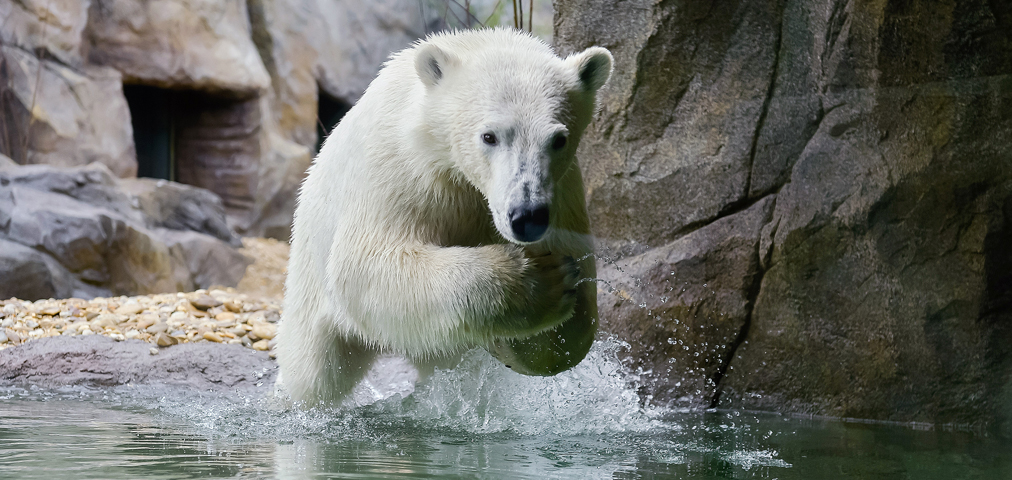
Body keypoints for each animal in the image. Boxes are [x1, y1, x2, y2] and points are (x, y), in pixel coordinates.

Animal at [273, 28, 611, 405]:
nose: (526, 216)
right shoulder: (402, 170)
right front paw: (542, 280)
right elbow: (367, 264)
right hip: (309, 271)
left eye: (558, 139)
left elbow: (579, 320)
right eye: (489, 136)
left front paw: (519, 333)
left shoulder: (564, 192)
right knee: (315, 368)